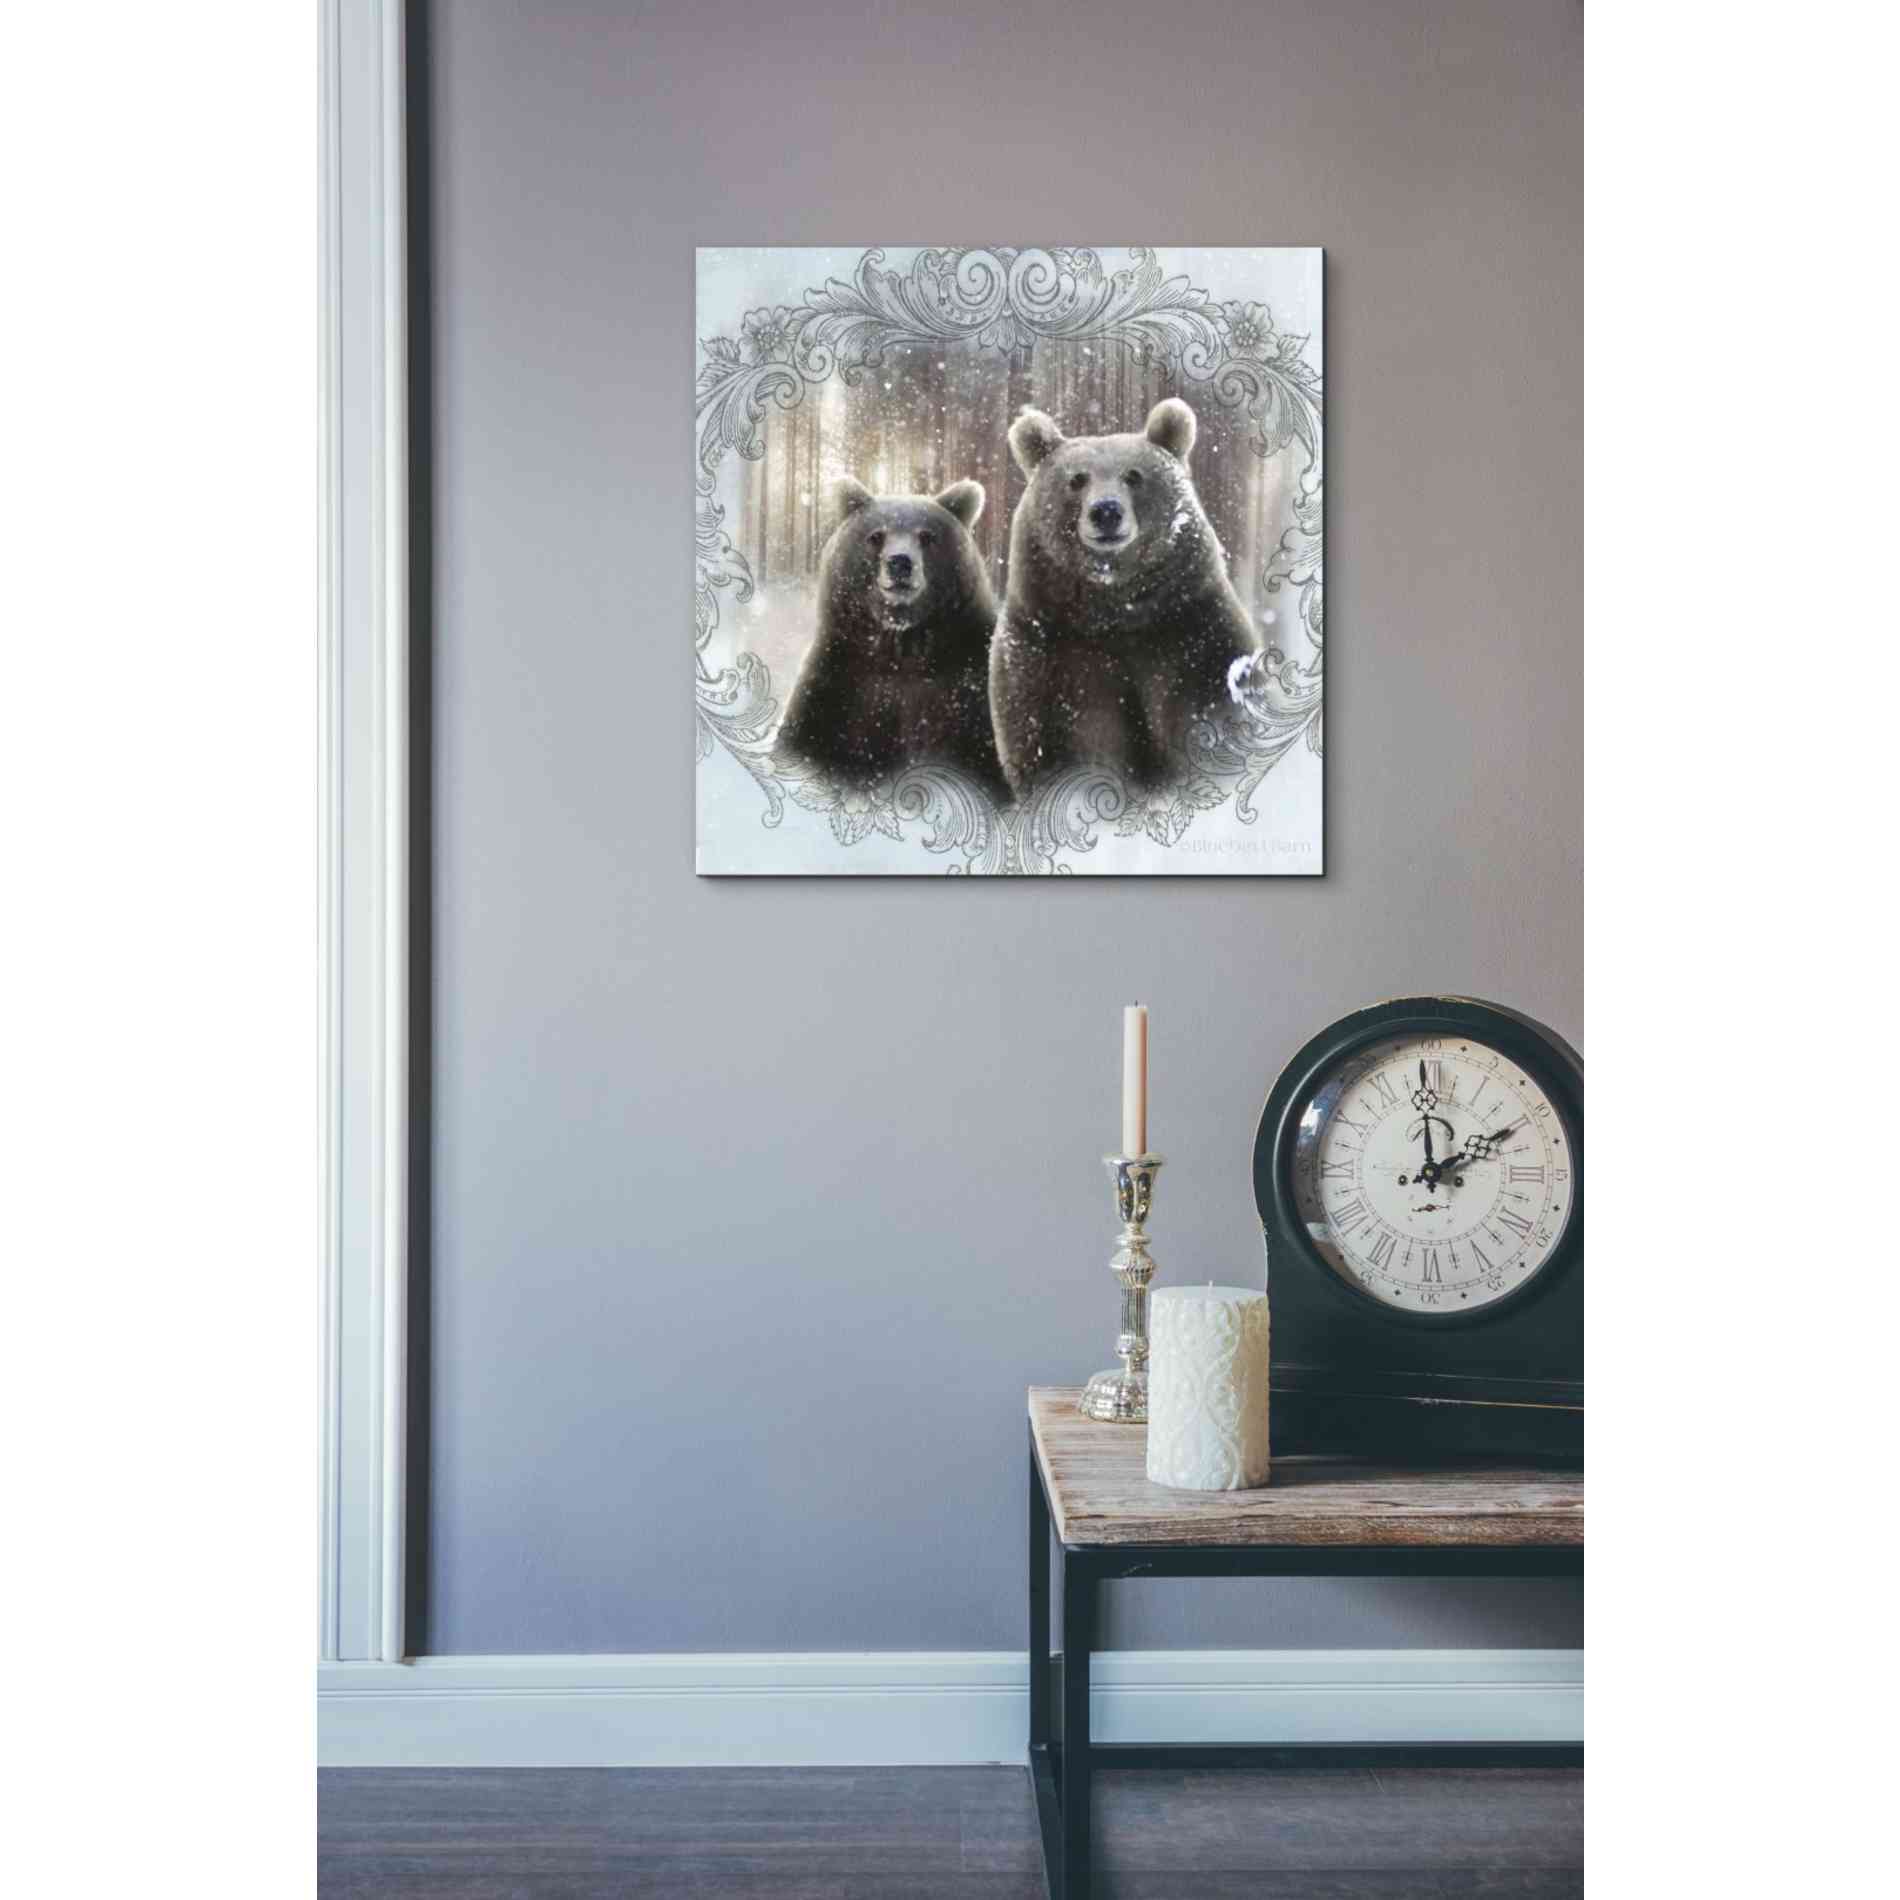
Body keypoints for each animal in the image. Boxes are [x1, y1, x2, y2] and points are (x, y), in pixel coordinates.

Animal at [774, 477, 1008, 801]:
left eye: (927, 536)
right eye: (876, 536)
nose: (900, 562)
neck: (901, 646)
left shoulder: (967, 688)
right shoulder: (839, 685)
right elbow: (807, 743)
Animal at [988, 397, 1259, 799]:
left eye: (1134, 475)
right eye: (1076, 479)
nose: (1106, 511)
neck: (1116, 607)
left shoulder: (1193, 633)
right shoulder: (1052, 653)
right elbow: (1055, 739)